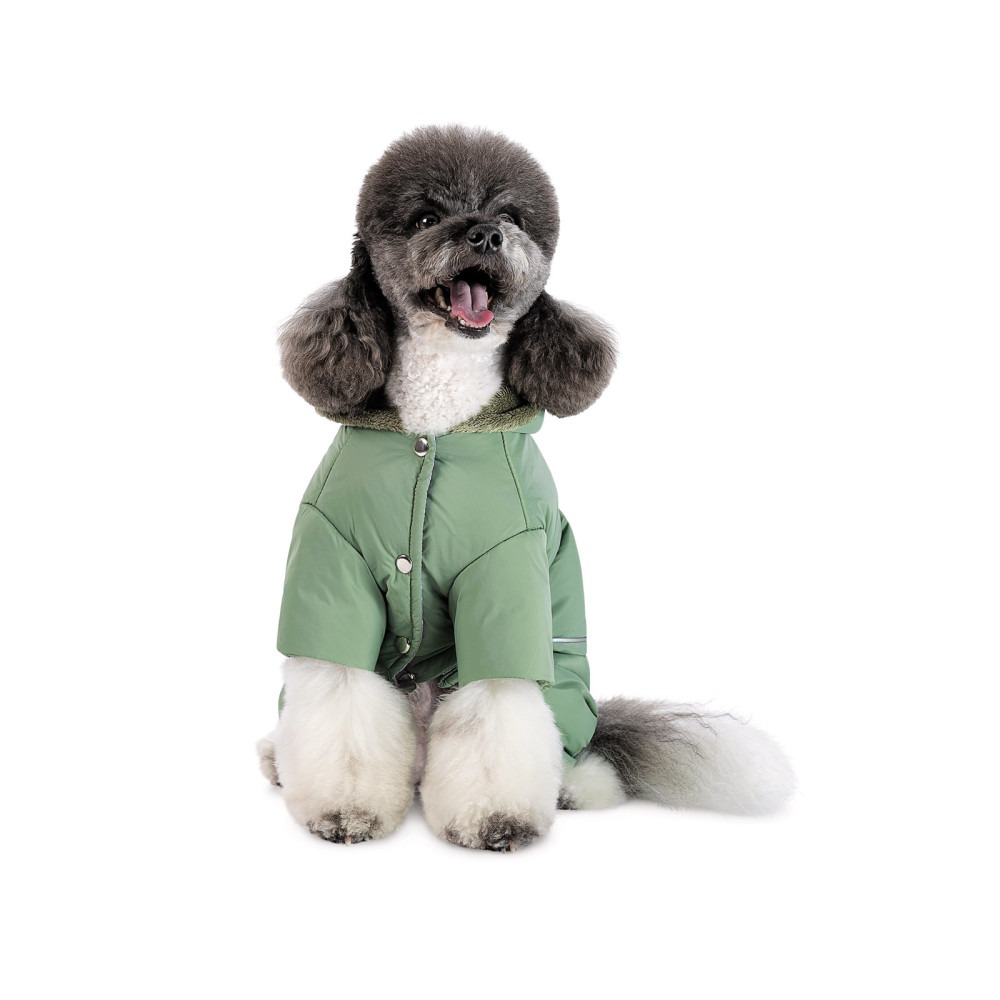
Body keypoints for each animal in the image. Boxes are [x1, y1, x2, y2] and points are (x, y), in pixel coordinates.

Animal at [257, 125, 794, 850]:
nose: (485, 235)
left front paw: (496, 818)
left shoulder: (507, 579)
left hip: (564, 693)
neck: (436, 423)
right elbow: (342, 694)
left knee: (577, 748)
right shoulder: (333, 569)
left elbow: (497, 709)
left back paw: (574, 785)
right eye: (425, 218)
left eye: (511, 216)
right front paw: (346, 809)